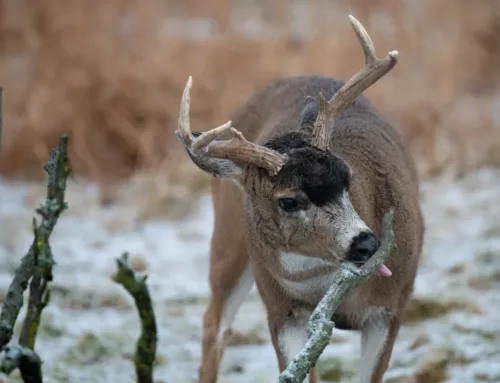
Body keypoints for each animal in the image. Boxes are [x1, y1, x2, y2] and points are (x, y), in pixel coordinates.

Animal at [174, 15, 424, 383]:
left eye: (347, 176)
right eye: (288, 201)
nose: (365, 243)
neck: (321, 283)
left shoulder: (391, 306)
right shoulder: (283, 311)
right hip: (228, 241)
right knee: (213, 323)